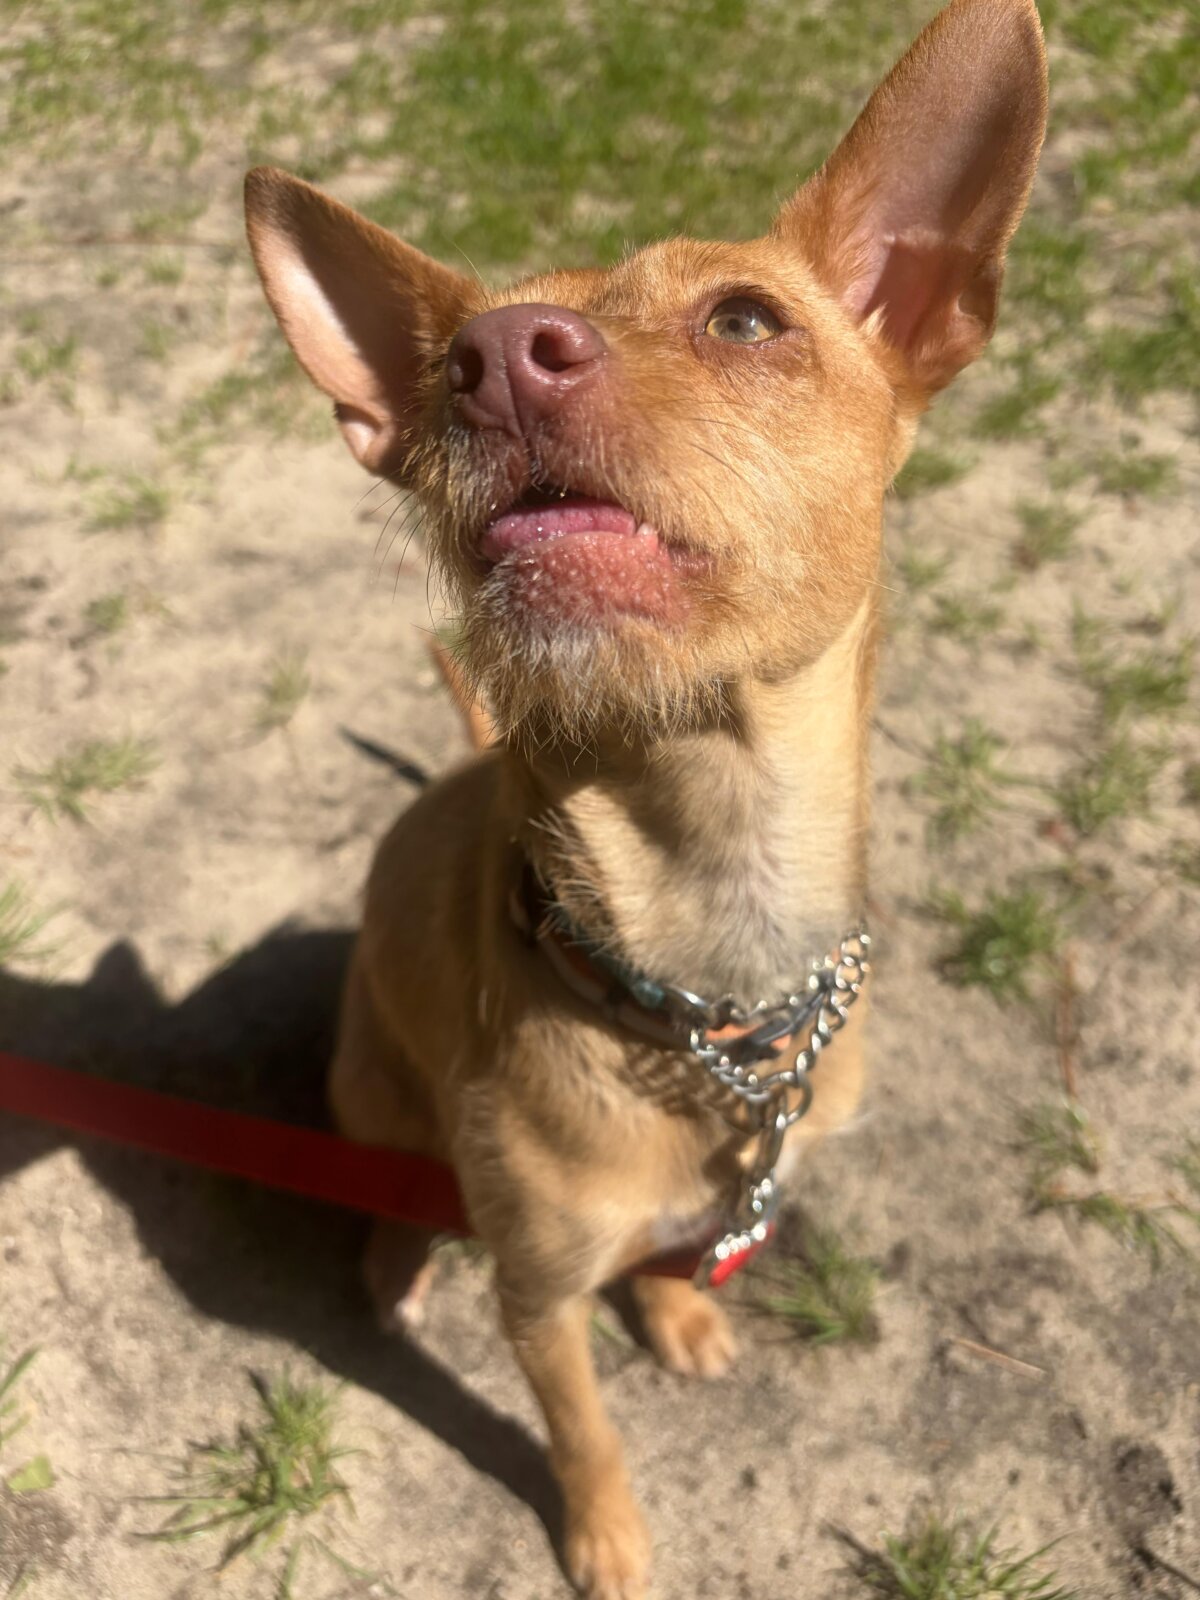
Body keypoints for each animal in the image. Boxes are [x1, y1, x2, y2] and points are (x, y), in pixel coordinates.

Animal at [244, 0, 1046, 1592]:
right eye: (441, 376)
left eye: (745, 318)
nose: (490, 357)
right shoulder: (537, 1299)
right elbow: (581, 1427)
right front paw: (607, 1536)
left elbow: (679, 1251)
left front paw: (678, 1305)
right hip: (368, 1085)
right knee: (389, 1187)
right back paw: (392, 1258)